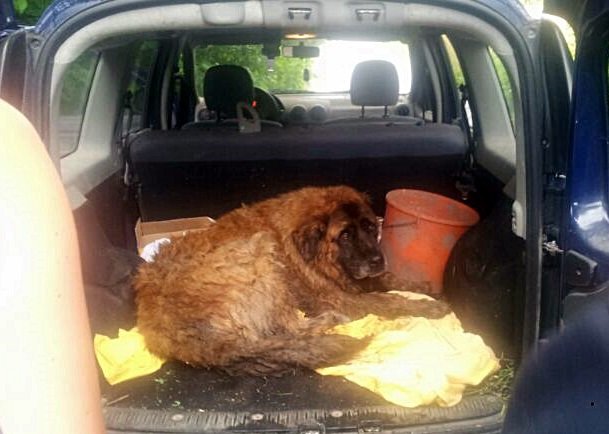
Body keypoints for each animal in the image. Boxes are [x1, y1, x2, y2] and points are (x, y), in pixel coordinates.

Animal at [134, 186, 450, 375]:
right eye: (345, 235)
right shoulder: (340, 297)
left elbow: (389, 280)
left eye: (371, 228)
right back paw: (329, 322)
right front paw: (427, 307)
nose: (377, 259)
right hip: (262, 255)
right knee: (290, 327)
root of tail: (161, 325)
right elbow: (389, 301)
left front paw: (421, 288)